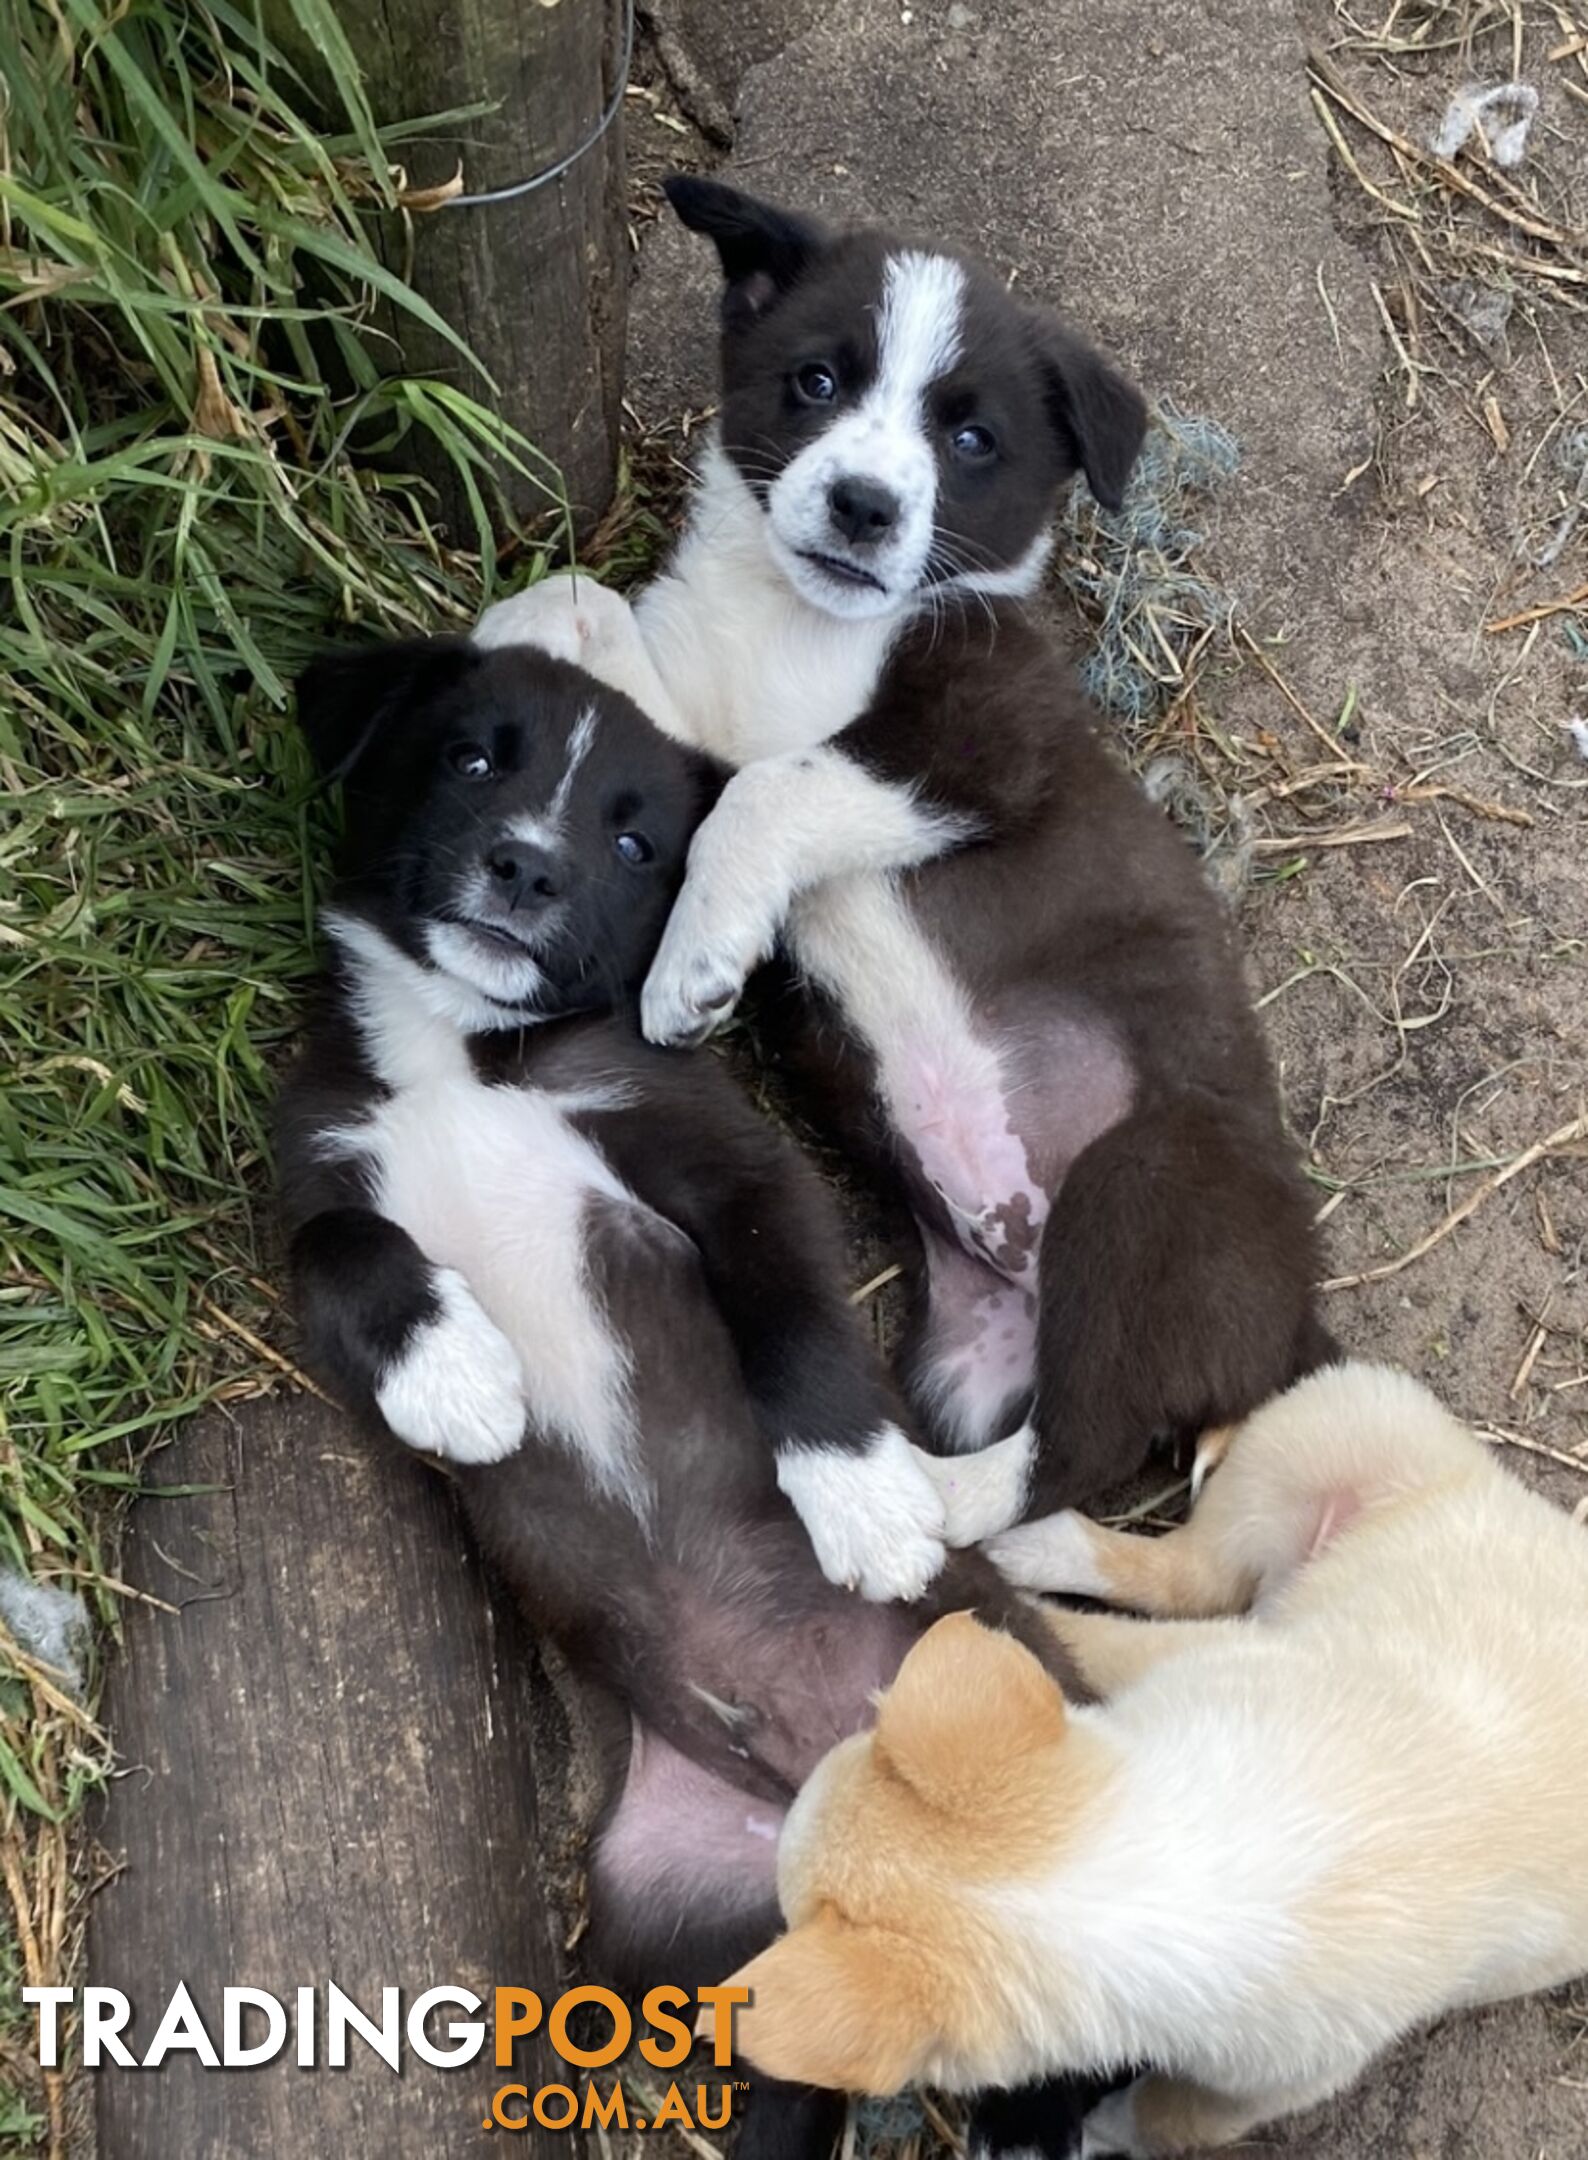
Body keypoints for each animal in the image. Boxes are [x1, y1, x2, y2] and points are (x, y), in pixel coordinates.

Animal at [477, 181, 1339, 1607]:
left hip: (1149, 1185)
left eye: (971, 438)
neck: (800, 627)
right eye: (816, 381)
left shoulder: (978, 750)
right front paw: (511, 649)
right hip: (968, 1345)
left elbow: (774, 787)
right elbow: (577, 603)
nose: (867, 506)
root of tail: (1293, 1332)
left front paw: (695, 968)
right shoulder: (696, 722)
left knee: (1074, 1451)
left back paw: (918, 1500)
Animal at [708, 1365, 1588, 2160]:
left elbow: (1170, 2116)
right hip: (1338, 1420)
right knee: (1192, 1571)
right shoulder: (1216, 1655)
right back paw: (1005, 1526)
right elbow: (1100, 1641)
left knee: (1194, 1578)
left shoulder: (1270, 2081)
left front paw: (1098, 2131)